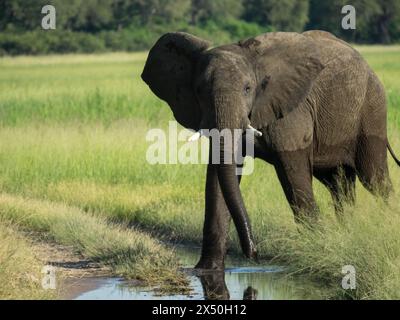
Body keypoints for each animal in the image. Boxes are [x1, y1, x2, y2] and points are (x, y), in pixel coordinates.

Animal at [141, 30, 400, 270]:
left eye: (248, 88)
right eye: (198, 91)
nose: (253, 254)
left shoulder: (292, 111)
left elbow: (293, 174)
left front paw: (316, 252)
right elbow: (219, 177)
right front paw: (207, 270)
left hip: (372, 109)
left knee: (375, 179)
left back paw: (387, 223)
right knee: (339, 185)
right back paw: (348, 231)